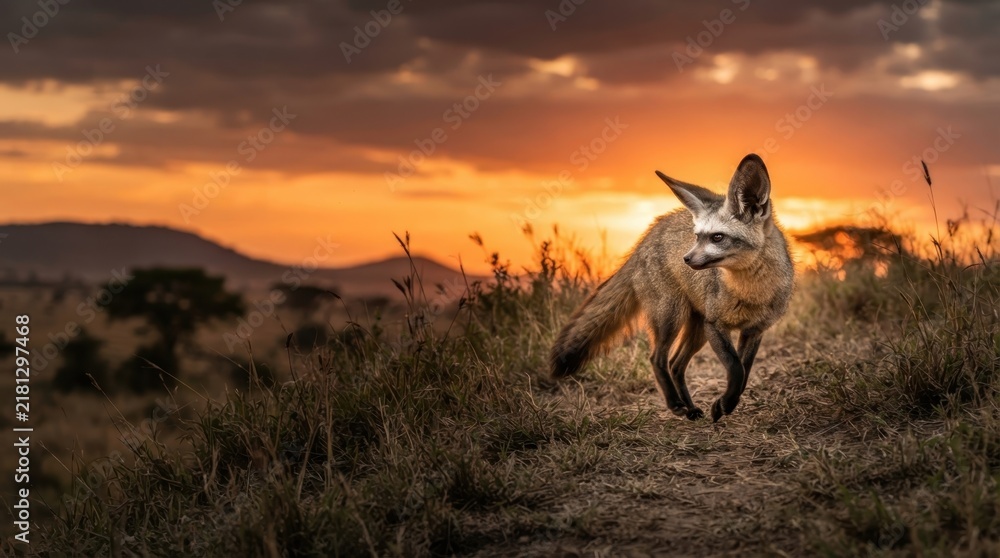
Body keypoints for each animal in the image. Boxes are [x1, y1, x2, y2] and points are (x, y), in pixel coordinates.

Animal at [549, 153, 794, 422]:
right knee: (658, 358)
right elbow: (736, 369)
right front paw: (723, 404)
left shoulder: (754, 330)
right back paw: (676, 404)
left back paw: (690, 408)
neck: (751, 293)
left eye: (717, 237)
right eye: (697, 236)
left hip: (695, 329)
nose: (686, 259)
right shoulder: (715, 325)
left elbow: (743, 373)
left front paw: (726, 404)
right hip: (671, 318)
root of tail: (646, 239)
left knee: (676, 364)